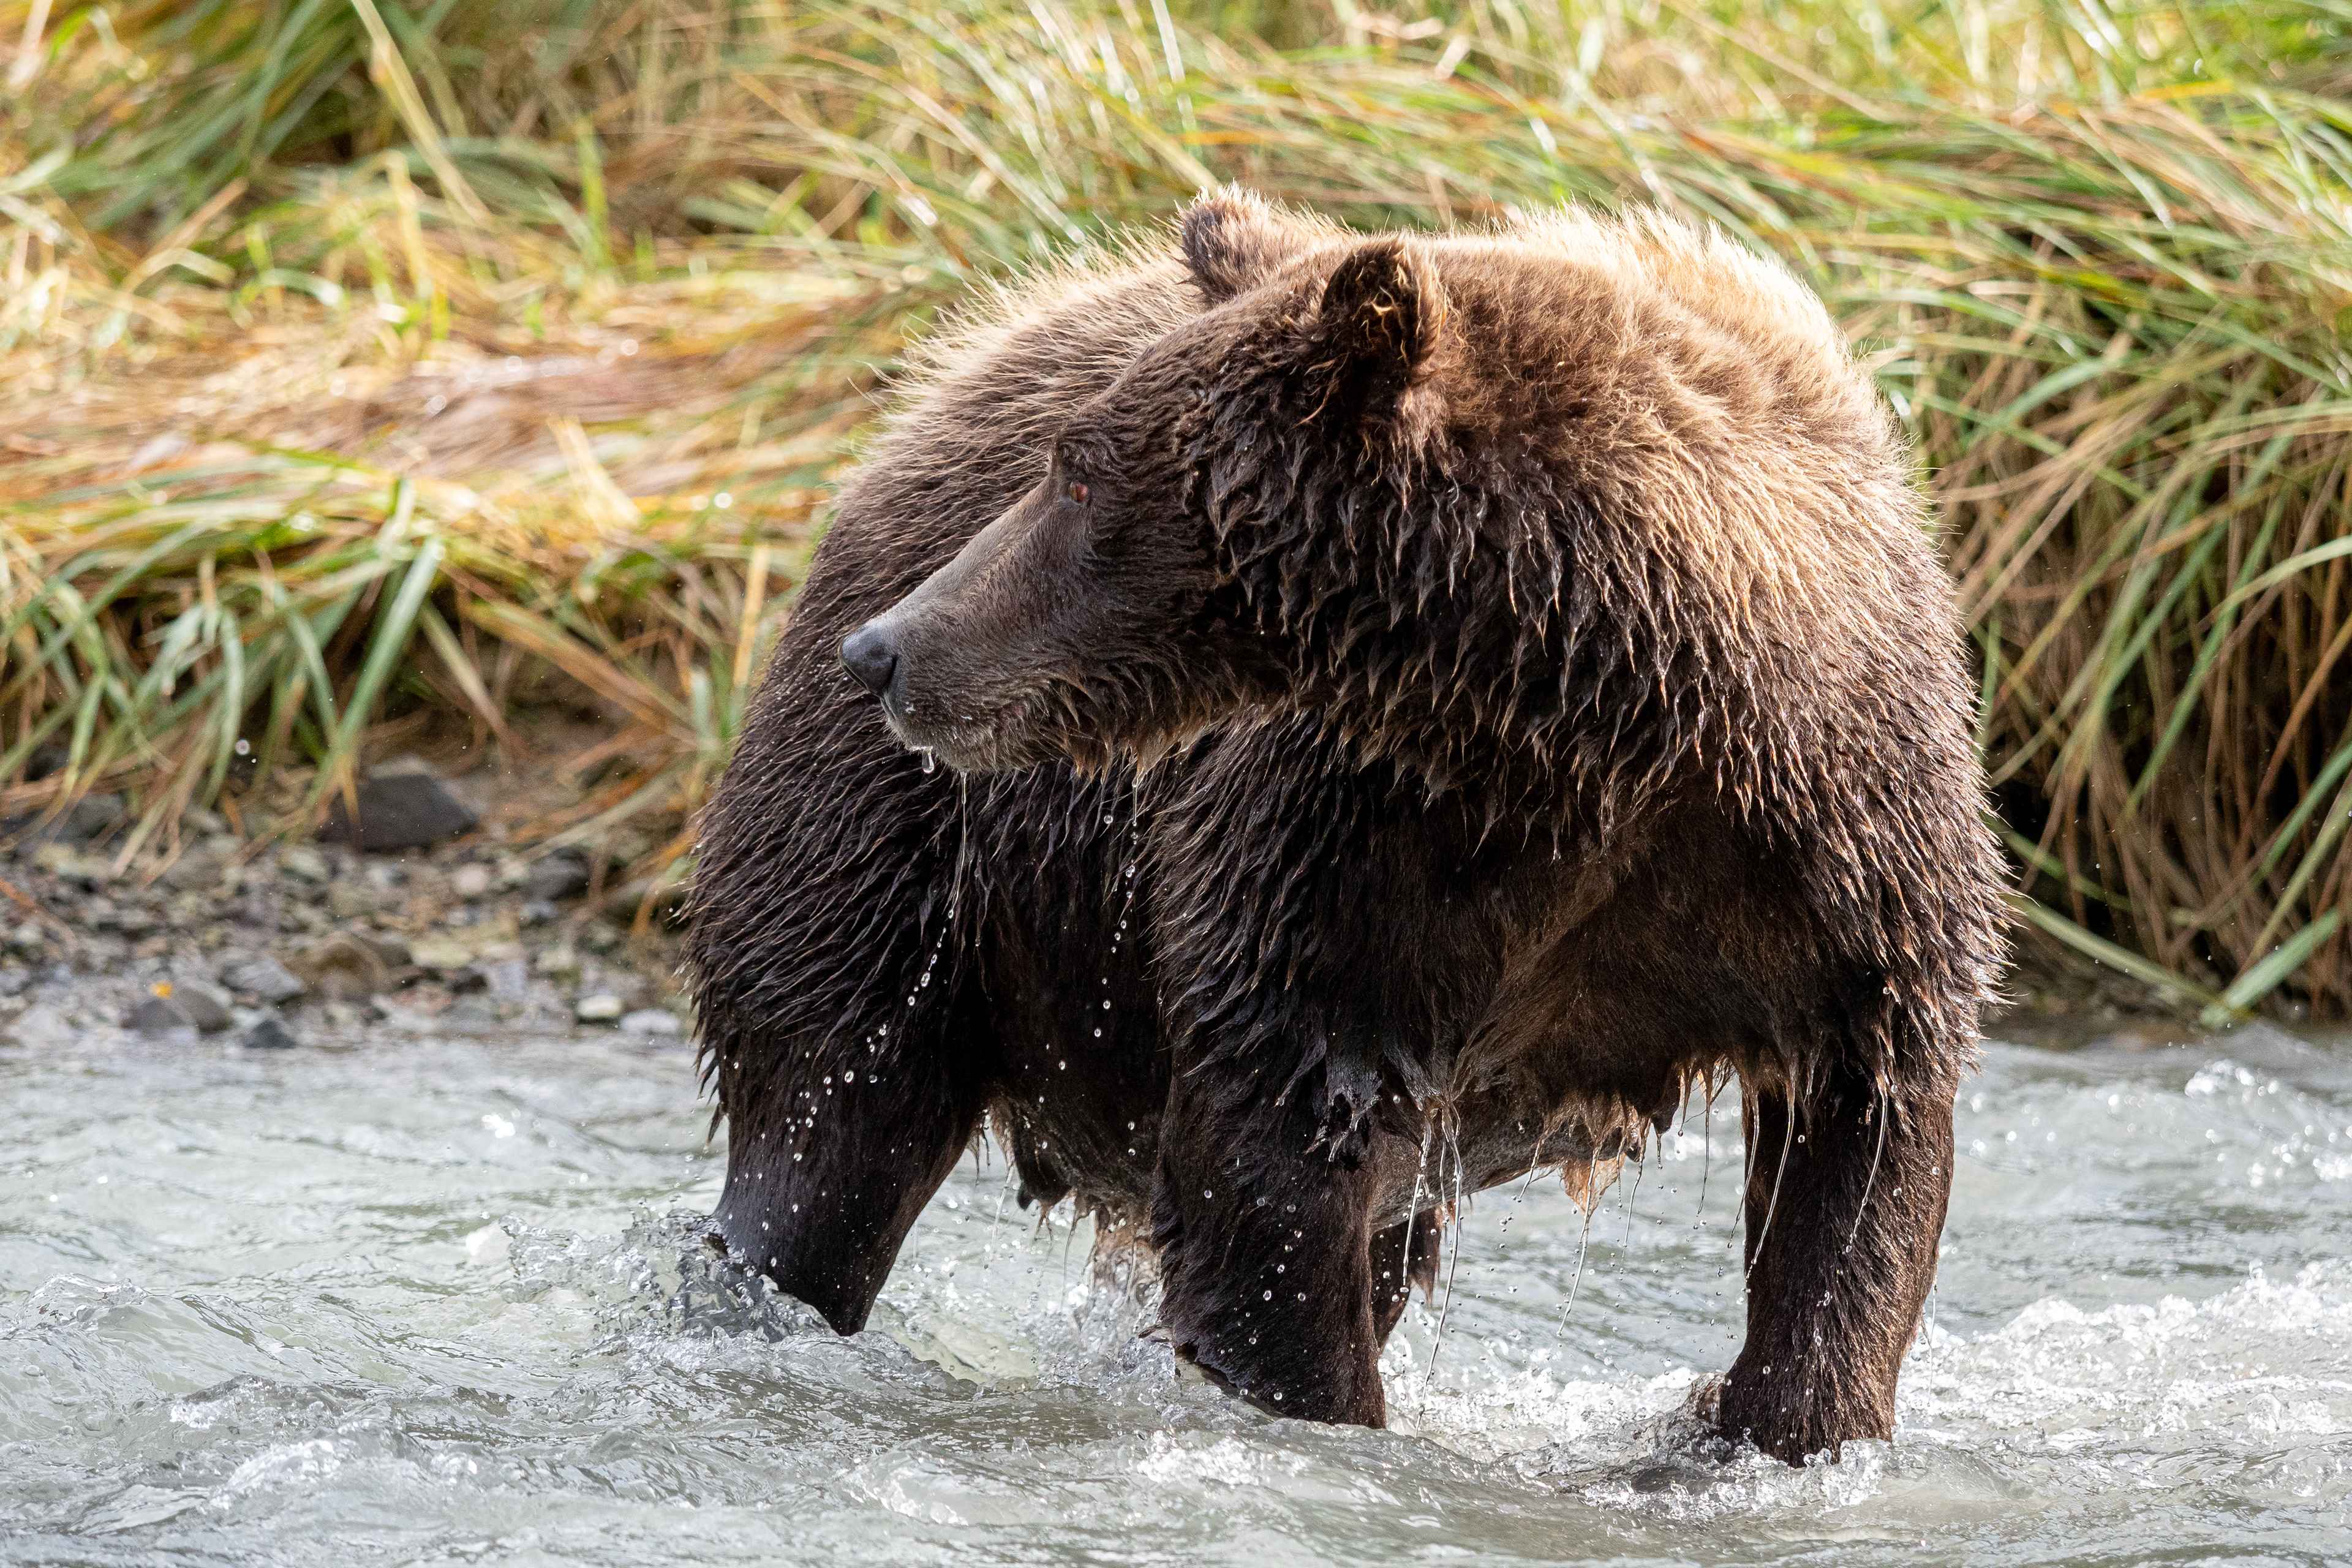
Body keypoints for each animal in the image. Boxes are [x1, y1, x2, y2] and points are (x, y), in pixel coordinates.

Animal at [836, 190, 2006, 1462]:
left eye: (1081, 476)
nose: (888, 646)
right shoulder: (1346, 839)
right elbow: (1274, 1136)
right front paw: (1318, 1401)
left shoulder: (1834, 860)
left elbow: (1862, 1157)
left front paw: (1767, 1422)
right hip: (922, 869)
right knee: (837, 1096)